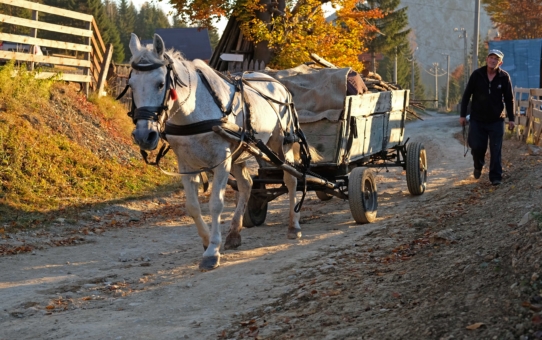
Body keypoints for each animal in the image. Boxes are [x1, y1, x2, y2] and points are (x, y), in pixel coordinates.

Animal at [126, 33, 308, 270]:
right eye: (131, 84)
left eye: (160, 84)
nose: (143, 135)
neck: (193, 112)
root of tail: (278, 84)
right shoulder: (186, 164)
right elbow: (193, 207)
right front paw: (206, 241)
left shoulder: (222, 161)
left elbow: (215, 204)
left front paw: (212, 251)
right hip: (241, 151)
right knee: (247, 184)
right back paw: (234, 233)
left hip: (281, 145)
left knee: (291, 180)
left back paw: (293, 226)